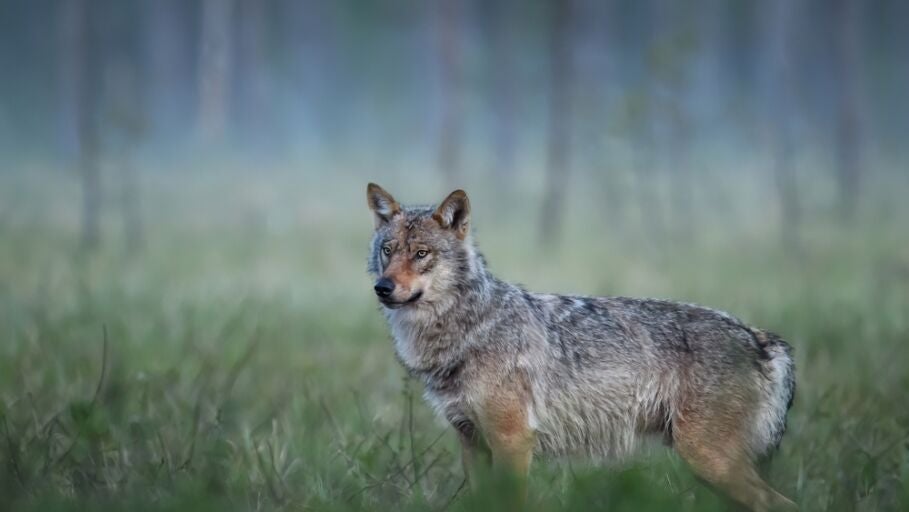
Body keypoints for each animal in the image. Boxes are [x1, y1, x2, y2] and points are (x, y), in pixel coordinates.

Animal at [365, 183, 797, 511]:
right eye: (388, 250)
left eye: (421, 254)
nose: (382, 288)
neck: (468, 328)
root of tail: (761, 338)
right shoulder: (471, 442)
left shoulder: (512, 441)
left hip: (710, 462)